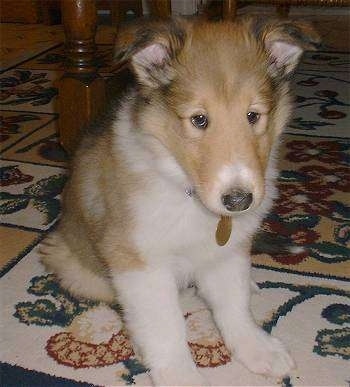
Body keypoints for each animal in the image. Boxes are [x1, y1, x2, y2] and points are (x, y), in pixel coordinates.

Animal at [41, 16, 320, 386]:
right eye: (198, 119)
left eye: (253, 115)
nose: (238, 200)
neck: (186, 190)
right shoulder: (140, 260)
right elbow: (165, 325)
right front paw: (180, 373)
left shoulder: (226, 250)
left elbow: (234, 305)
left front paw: (259, 350)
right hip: (78, 269)